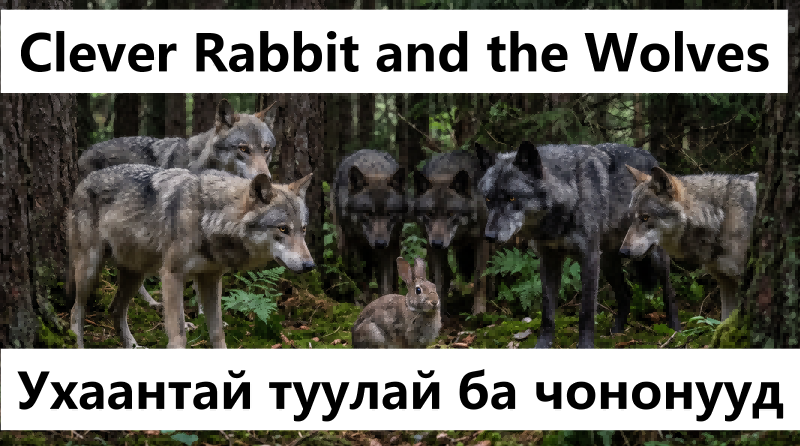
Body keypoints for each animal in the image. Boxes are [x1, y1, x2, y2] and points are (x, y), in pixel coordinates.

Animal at [68, 164, 314, 349]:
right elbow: (178, 334)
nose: (310, 265)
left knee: (115, 309)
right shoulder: (171, 275)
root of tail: (83, 180)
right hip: (90, 271)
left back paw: (133, 346)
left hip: (135, 274)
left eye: (303, 229)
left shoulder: (211, 278)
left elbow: (217, 332)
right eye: (283, 229)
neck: (207, 217)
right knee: (76, 312)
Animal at [331, 149, 407, 304]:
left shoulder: (388, 247)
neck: (375, 170)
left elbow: (386, 281)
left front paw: (385, 300)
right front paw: (363, 302)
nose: (380, 243)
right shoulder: (356, 244)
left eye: (389, 213)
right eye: (368, 213)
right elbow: (362, 276)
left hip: (395, 245)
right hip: (343, 241)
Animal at [414, 149, 493, 315]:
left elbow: (479, 278)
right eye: (429, 214)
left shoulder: (482, 240)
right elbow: (439, 279)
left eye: (450, 213)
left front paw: (479, 311)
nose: (437, 243)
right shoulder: (434, 247)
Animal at [477, 142, 679, 348]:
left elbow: (586, 311)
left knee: (669, 292)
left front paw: (585, 345)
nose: (489, 236)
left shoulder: (589, 258)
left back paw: (675, 329)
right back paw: (617, 331)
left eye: (511, 198)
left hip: (653, 258)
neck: (571, 194)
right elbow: (547, 311)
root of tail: (650, 157)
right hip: (608, 263)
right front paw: (543, 344)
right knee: (625, 294)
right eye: (488, 199)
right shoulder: (548, 260)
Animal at [620, 166, 758, 321]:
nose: (622, 252)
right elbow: (725, 321)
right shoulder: (726, 281)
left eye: (645, 217)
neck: (721, 217)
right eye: (631, 218)